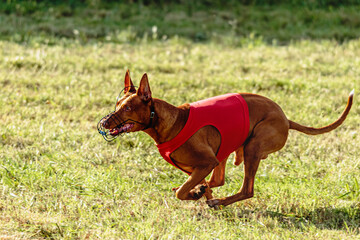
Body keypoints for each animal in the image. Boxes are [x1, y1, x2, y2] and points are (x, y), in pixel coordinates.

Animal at [99, 70, 354, 207]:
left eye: (128, 107)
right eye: (117, 104)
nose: (104, 122)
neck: (173, 121)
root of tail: (286, 118)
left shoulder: (206, 162)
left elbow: (184, 191)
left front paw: (194, 193)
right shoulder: (199, 166)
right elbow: (199, 185)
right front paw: (197, 192)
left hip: (253, 147)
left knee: (247, 189)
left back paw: (219, 202)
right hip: (228, 151)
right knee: (219, 180)